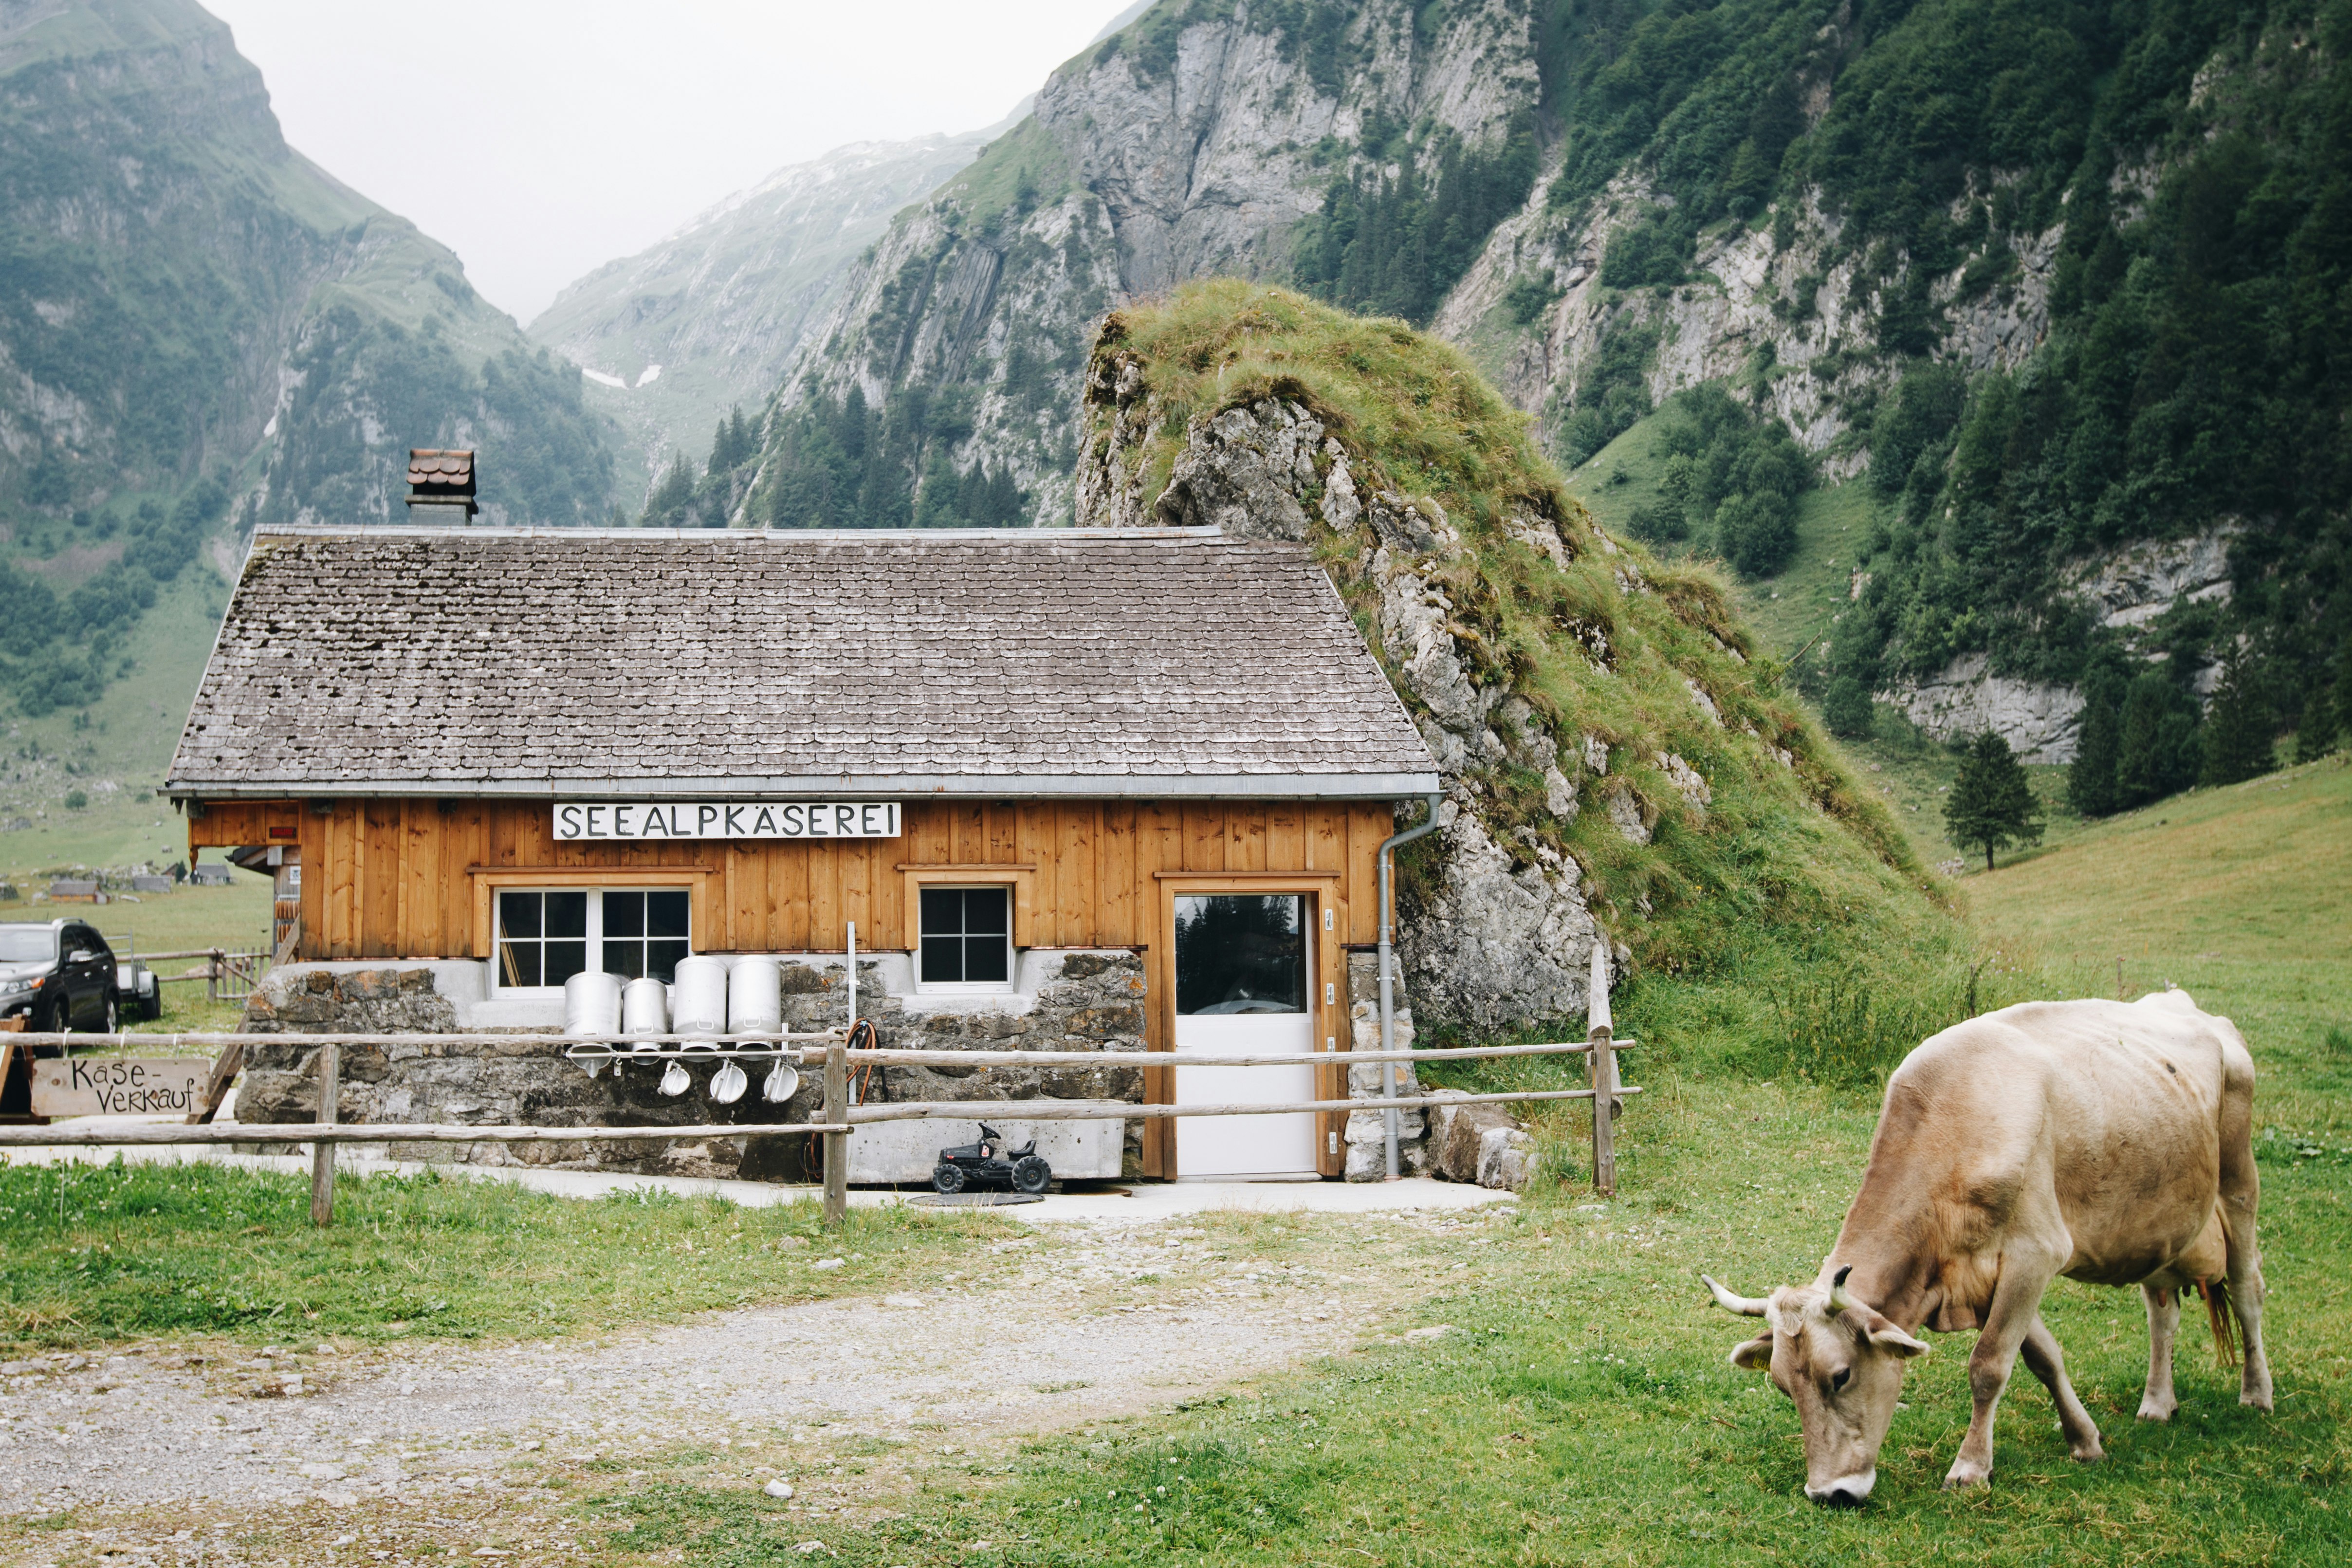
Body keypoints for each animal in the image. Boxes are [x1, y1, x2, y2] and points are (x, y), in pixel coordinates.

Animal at [1712, 992, 2258, 1504]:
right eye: (1783, 1384)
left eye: (1841, 1376)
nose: (1829, 1494)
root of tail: (2189, 1007)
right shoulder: (1984, 1275)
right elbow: (2044, 1357)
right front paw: (2084, 1439)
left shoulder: (2035, 1253)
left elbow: (1989, 1365)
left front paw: (1970, 1467)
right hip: (2160, 1225)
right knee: (2161, 1313)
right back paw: (2158, 1403)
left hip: (2238, 1184)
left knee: (2247, 1290)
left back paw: (2256, 1394)